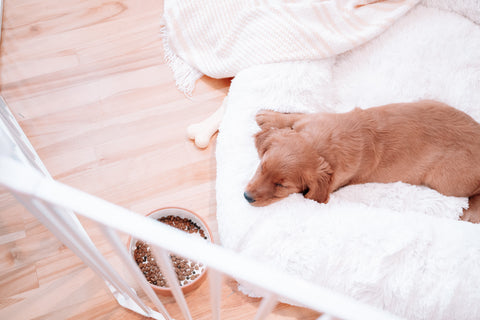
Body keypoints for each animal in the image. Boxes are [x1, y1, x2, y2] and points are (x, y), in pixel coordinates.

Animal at [244, 100, 480, 222]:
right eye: (262, 167)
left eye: (282, 186)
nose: (247, 197)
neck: (322, 145)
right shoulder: (313, 119)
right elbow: (296, 117)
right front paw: (268, 116)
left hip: (448, 182)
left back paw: (471, 213)